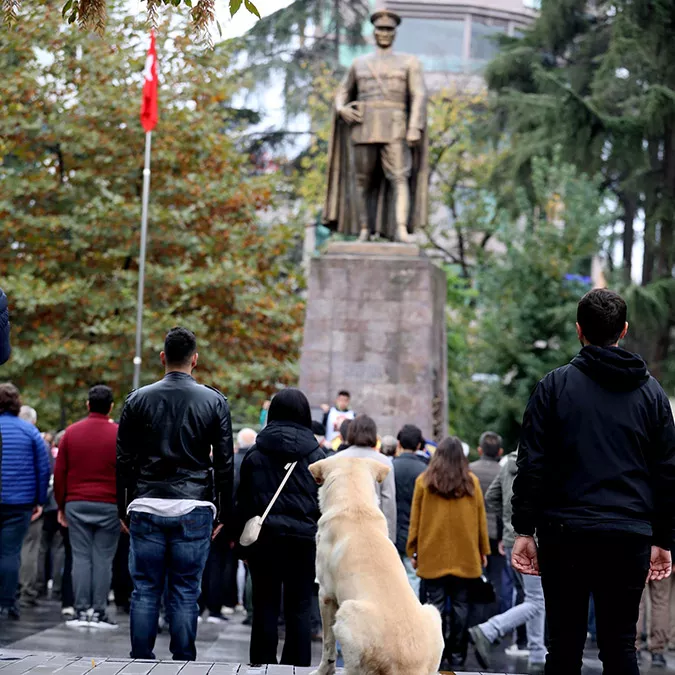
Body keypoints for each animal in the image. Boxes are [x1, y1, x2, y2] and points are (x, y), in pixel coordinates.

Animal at [308, 454, 444, 675]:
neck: (355, 506)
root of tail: (405, 667)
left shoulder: (325, 595)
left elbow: (328, 646)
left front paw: (322, 671)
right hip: (432, 612)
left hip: (346, 611)